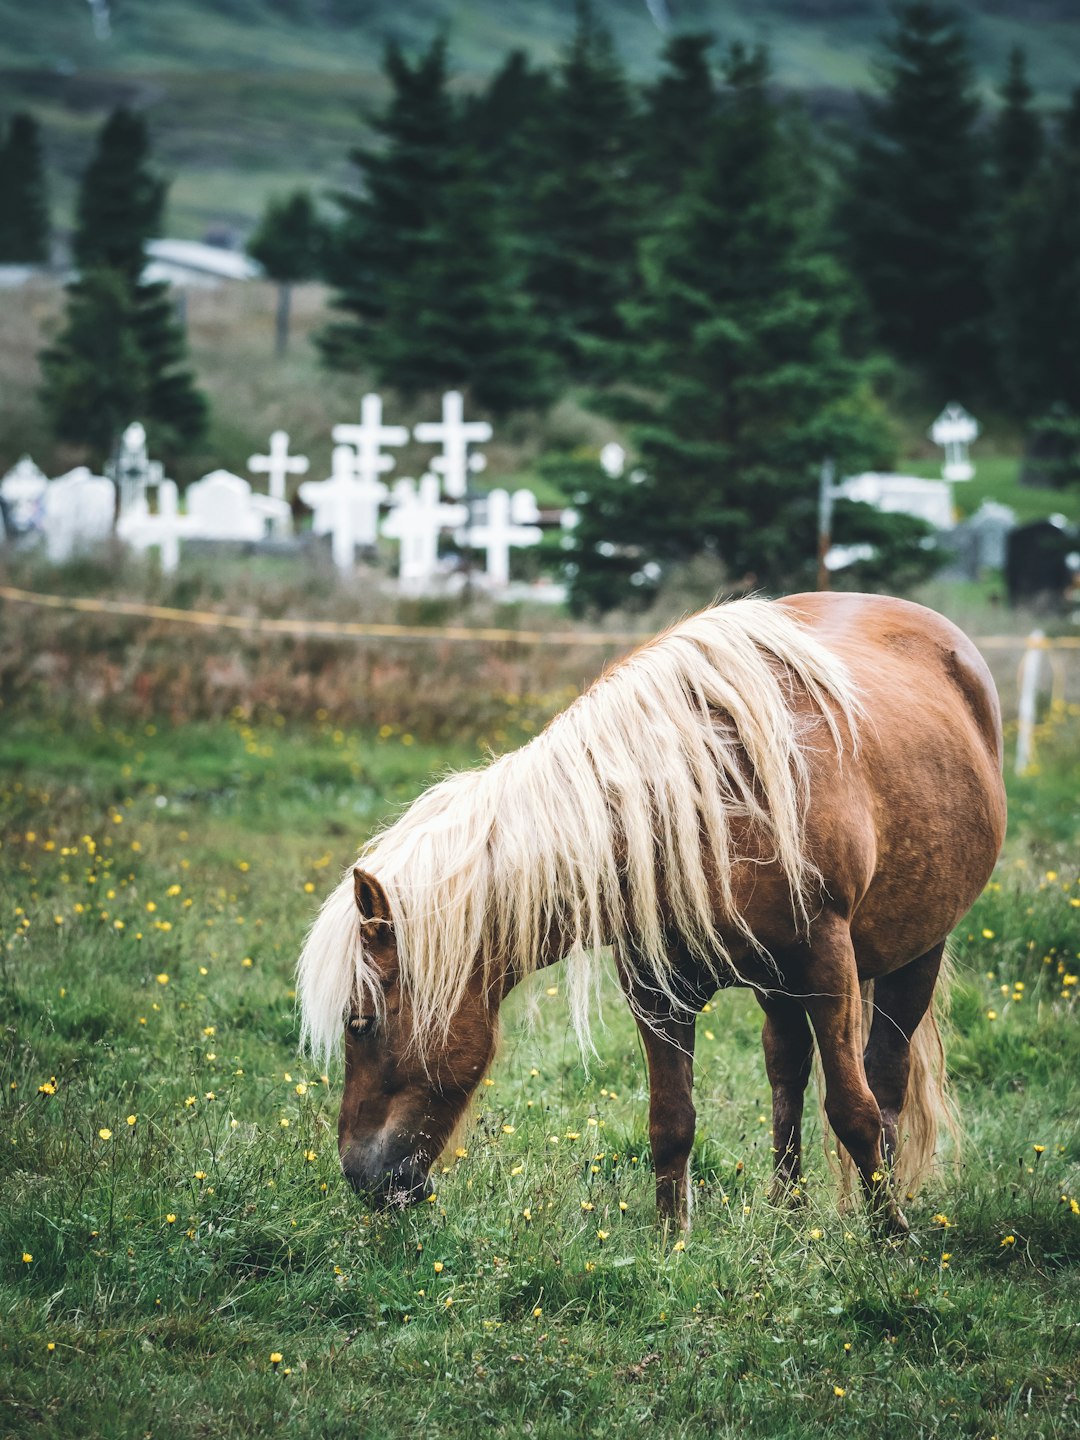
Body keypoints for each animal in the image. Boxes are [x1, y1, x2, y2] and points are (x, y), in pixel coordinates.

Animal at [293, 590, 1008, 1232]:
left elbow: (854, 1110)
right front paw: (671, 1245)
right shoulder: (655, 990)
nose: (360, 1178)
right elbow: (671, 1122)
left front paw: (889, 1245)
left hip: (916, 952)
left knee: (884, 1080)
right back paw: (787, 1212)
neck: (704, 802)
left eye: (360, 1023)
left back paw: (884, 1213)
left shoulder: (829, 965)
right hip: (779, 987)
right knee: (786, 1070)